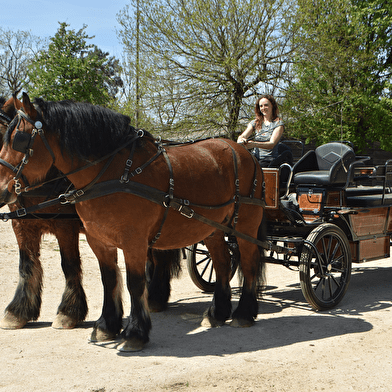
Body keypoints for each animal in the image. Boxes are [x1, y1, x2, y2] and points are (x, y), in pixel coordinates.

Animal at [0, 92, 266, 352]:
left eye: (19, 139)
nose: (2, 191)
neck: (114, 173)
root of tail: (243, 152)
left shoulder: (130, 241)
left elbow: (134, 283)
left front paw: (134, 333)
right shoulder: (97, 240)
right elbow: (108, 280)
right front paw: (106, 325)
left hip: (245, 226)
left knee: (249, 263)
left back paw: (243, 313)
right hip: (212, 229)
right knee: (222, 264)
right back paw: (217, 313)